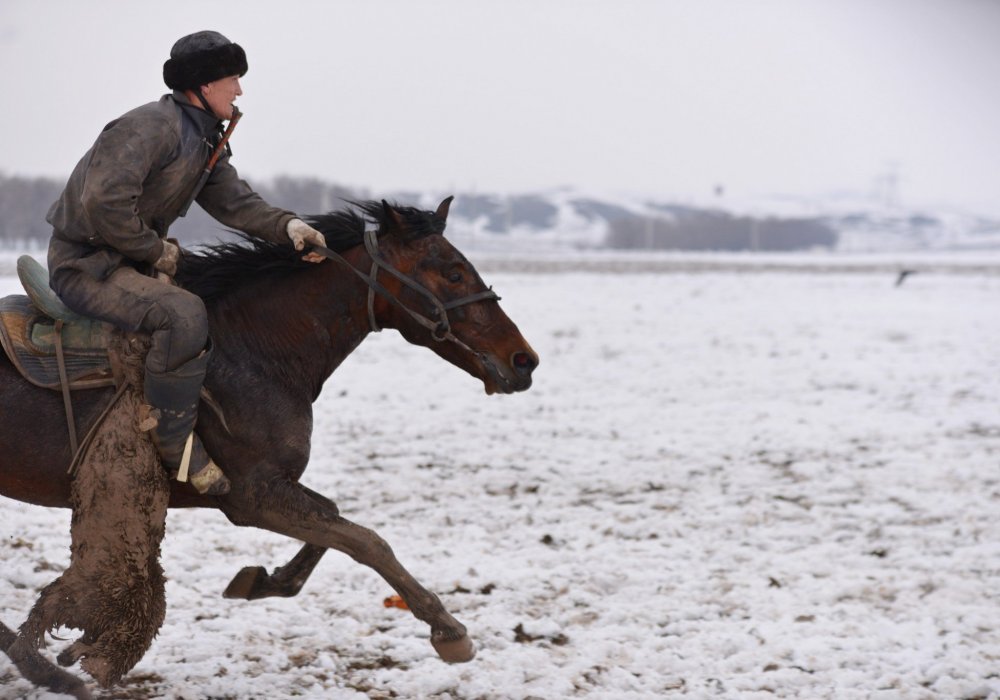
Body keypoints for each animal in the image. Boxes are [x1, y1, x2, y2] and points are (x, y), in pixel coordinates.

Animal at [0, 197, 540, 696]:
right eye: (453, 272)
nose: (524, 361)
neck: (252, 351)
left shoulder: (277, 489)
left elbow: (332, 527)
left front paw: (263, 580)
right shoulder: (252, 498)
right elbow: (368, 542)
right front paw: (448, 630)